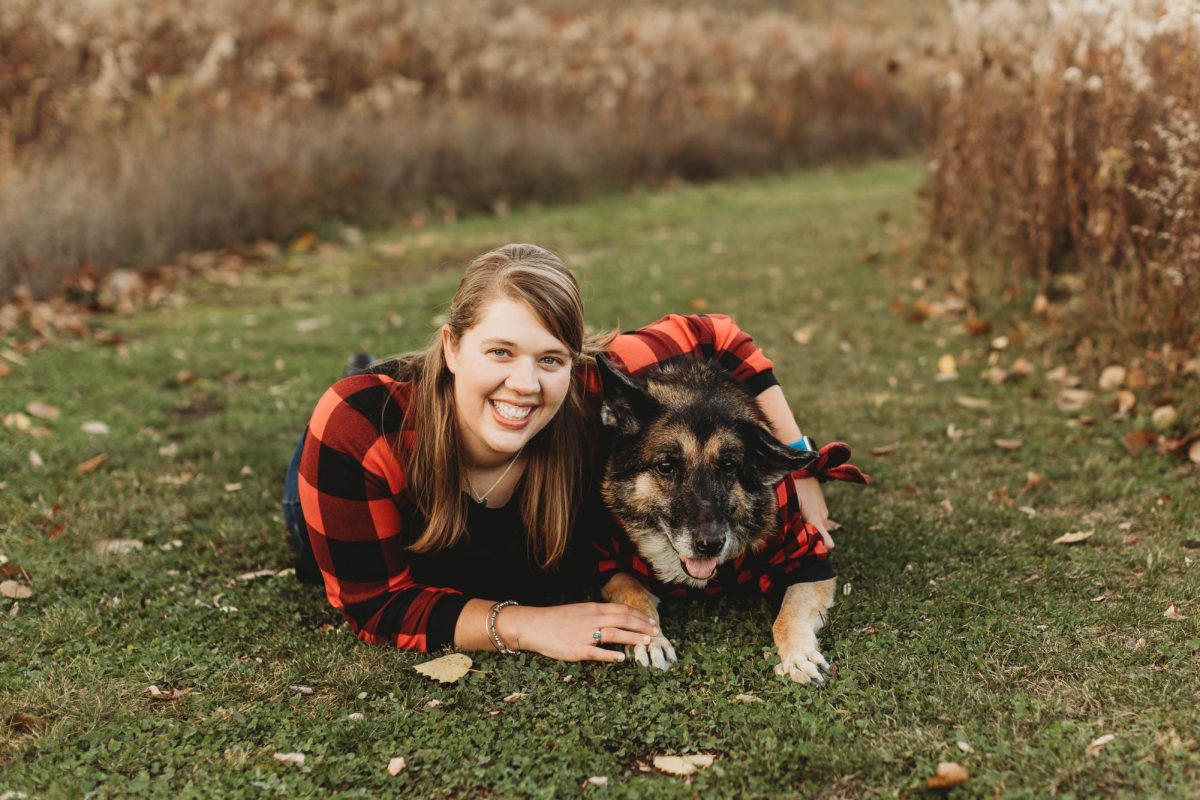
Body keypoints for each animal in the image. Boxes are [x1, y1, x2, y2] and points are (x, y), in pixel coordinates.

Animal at [595, 357, 849, 690]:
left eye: (728, 466)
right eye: (666, 466)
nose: (710, 544)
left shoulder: (808, 562)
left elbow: (787, 616)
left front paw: (798, 655)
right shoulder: (610, 567)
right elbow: (634, 598)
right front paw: (651, 640)